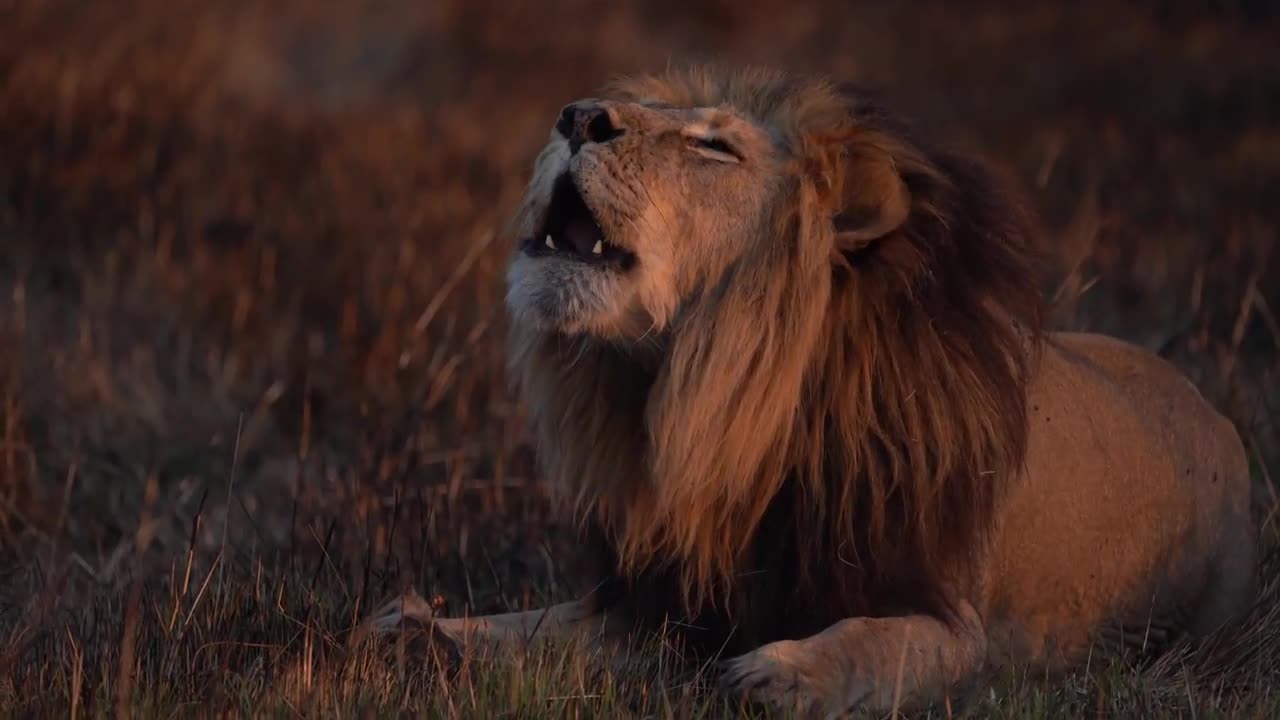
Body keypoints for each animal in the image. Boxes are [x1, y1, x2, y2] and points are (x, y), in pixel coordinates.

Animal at [355, 65, 1254, 712]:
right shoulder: (663, 603)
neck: (730, 412)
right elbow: (533, 625)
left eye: (714, 147)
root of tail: (1213, 408)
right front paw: (420, 629)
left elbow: (883, 644)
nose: (576, 118)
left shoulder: (954, 621)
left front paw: (782, 674)